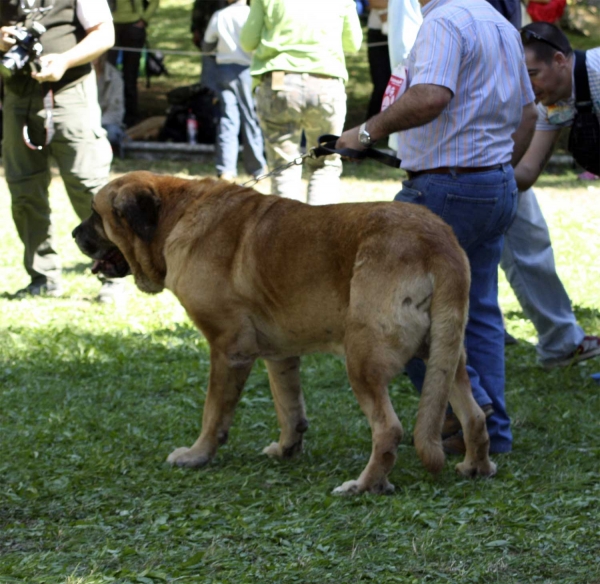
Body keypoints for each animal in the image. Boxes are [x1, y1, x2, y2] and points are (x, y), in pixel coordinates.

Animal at [72, 171, 496, 496]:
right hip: (444, 356)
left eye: (95, 213)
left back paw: (365, 485)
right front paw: (287, 447)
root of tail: (437, 242)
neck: (176, 216)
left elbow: (214, 412)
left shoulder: (227, 349)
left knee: (388, 429)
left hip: (363, 359)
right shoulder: (279, 355)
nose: (75, 234)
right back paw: (476, 467)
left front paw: (197, 455)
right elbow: (288, 406)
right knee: (475, 415)